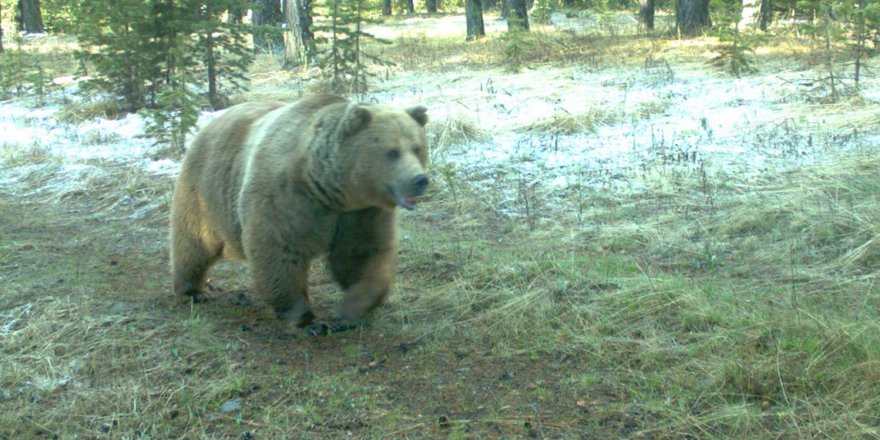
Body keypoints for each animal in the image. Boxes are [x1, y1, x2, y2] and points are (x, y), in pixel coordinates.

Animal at [169, 94, 430, 336]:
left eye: (417, 148)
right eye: (392, 152)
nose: (420, 180)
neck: (326, 188)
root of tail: (211, 122)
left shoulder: (360, 213)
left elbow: (361, 254)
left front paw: (353, 308)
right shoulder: (285, 199)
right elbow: (280, 253)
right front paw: (307, 320)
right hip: (205, 191)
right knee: (193, 243)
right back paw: (192, 290)